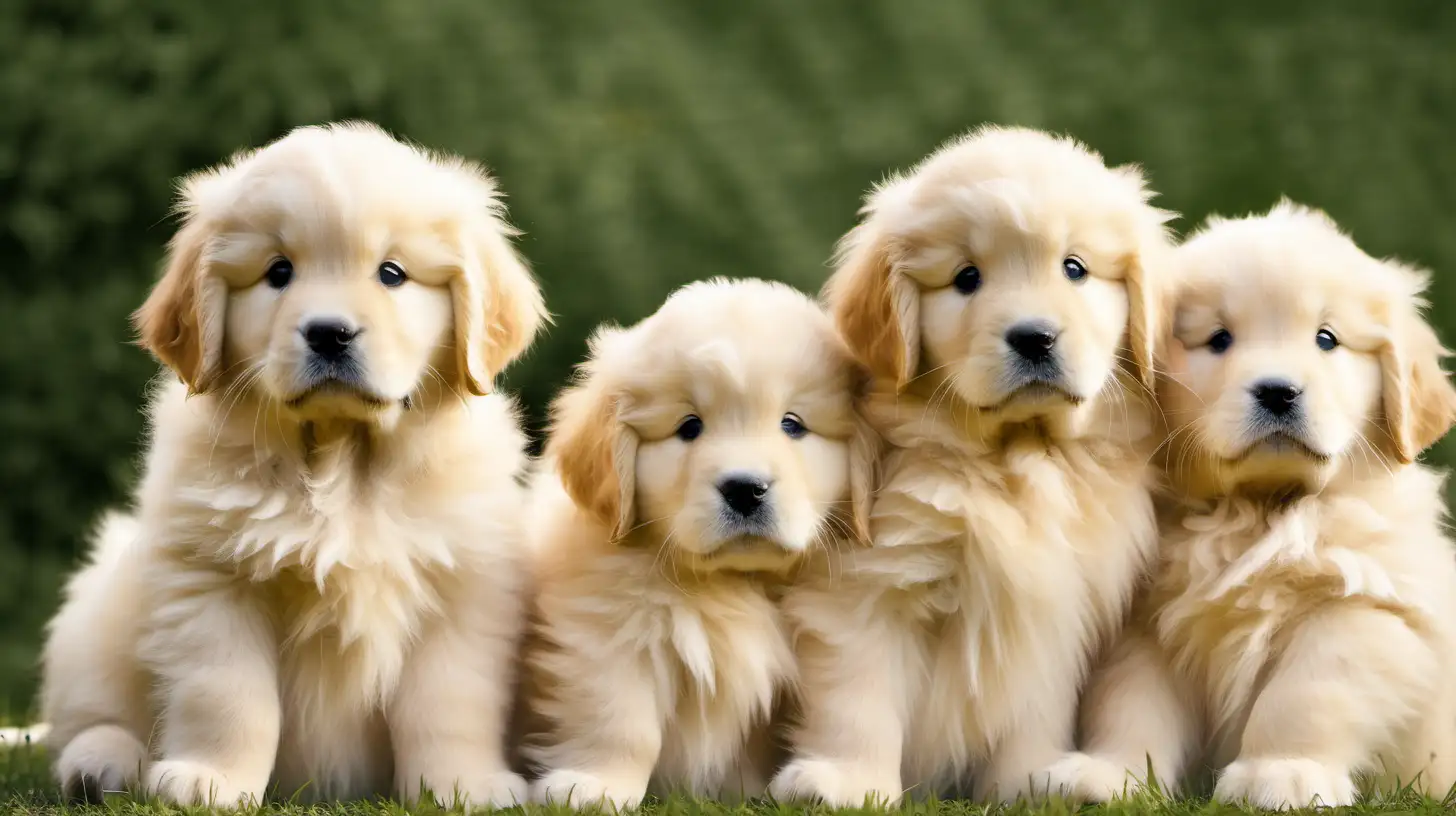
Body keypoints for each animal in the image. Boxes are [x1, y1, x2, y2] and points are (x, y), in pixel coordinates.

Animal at [42, 122, 550, 810]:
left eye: (392, 273)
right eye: (278, 272)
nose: (329, 333)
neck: (341, 464)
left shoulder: (464, 589)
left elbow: (449, 703)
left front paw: (463, 786)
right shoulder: (214, 581)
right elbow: (230, 698)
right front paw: (212, 781)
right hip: (97, 614)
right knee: (93, 711)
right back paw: (100, 762)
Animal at [524, 276, 873, 804]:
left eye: (792, 424)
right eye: (689, 427)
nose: (745, 488)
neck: (734, 581)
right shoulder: (606, 626)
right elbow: (620, 720)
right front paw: (597, 785)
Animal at [774, 126, 1170, 804]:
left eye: (1074, 268)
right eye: (966, 278)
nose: (1034, 337)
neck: (1014, 457)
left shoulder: (1051, 603)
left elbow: (1031, 709)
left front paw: (1030, 781)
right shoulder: (863, 591)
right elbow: (860, 701)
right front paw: (847, 782)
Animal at [1042, 201, 1456, 810]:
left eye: (1327, 339)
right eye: (1218, 339)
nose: (1278, 392)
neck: (1259, 511)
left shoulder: (1362, 607)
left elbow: (1303, 696)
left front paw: (1282, 774)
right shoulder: (1145, 627)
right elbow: (1131, 706)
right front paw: (1112, 775)